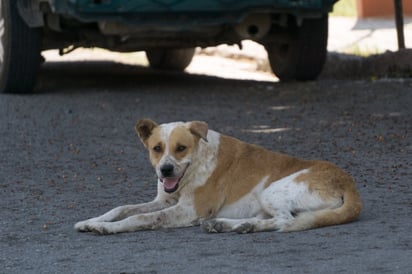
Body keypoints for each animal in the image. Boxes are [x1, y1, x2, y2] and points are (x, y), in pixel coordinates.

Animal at [74, 119, 360, 234]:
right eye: (157, 148)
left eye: (181, 148)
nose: (165, 170)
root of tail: (349, 183)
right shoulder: (165, 201)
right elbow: (122, 208)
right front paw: (93, 220)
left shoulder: (187, 211)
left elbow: (139, 218)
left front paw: (107, 228)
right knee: (270, 220)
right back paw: (230, 225)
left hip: (272, 191)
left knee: (284, 221)